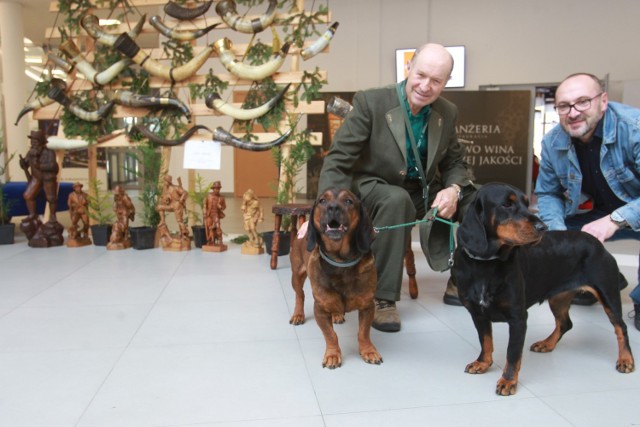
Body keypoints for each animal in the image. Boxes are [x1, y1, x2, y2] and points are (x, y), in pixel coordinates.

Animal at [288, 189, 382, 370]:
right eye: (322, 201)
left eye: (348, 201)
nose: (332, 207)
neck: (340, 262)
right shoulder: (320, 309)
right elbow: (331, 335)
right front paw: (332, 355)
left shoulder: (368, 306)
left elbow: (363, 332)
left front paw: (368, 351)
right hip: (296, 276)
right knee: (299, 295)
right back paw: (298, 314)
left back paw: (337, 315)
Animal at [452, 182, 632, 396]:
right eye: (507, 204)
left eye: (527, 203)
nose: (542, 227)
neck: (487, 264)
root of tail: (598, 244)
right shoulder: (478, 314)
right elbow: (485, 340)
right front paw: (483, 363)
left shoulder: (518, 318)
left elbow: (512, 353)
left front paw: (508, 381)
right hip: (558, 297)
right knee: (565, 323)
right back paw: (547, 344)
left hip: (607, 294)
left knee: (621, 327)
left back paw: (626, 360)